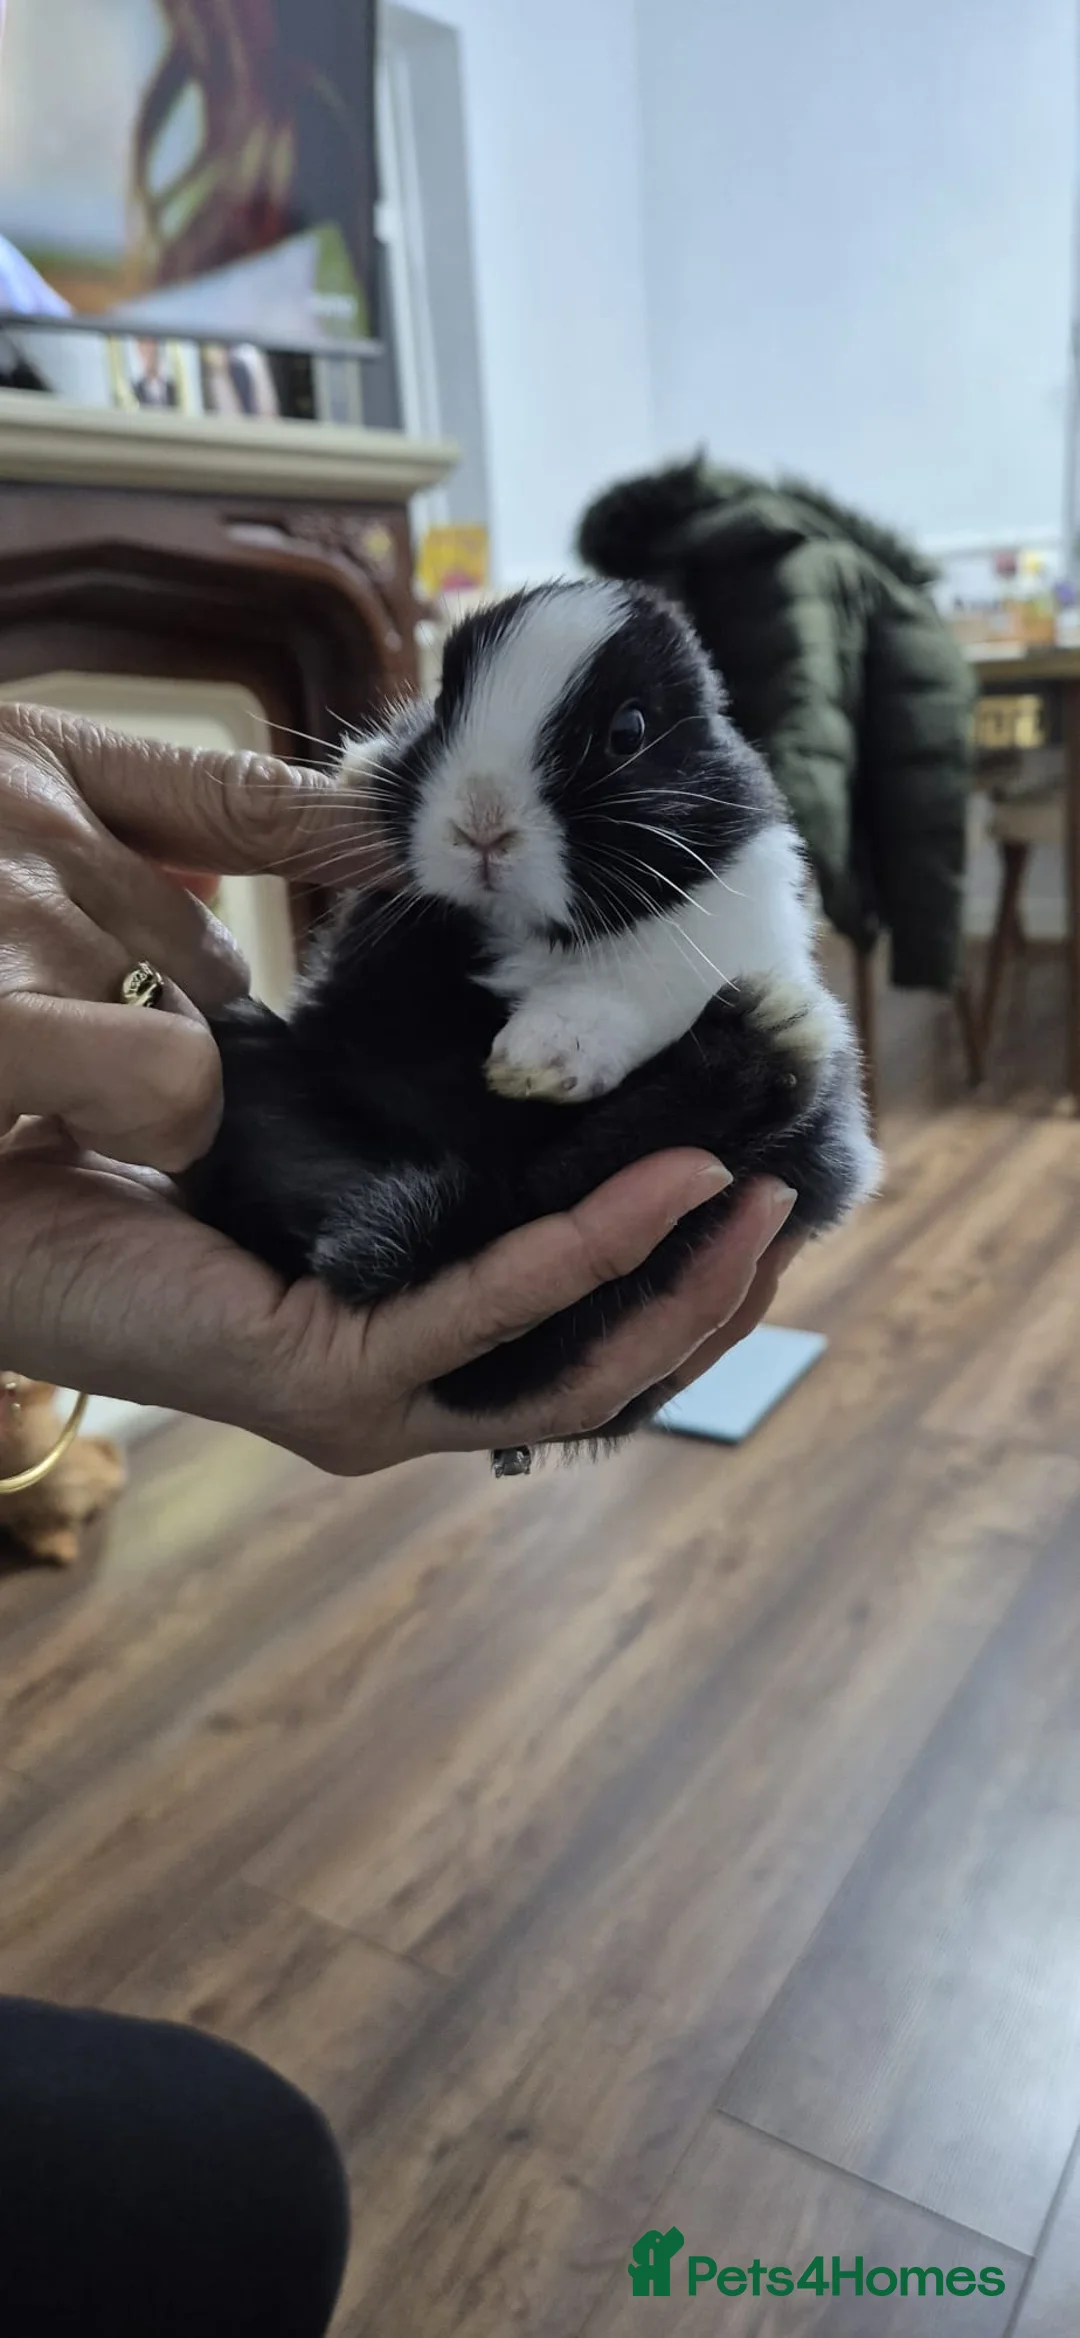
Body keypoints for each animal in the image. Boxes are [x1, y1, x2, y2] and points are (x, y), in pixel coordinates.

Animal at [187, 579, 879, 1442]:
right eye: (445, 702)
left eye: (628, 731)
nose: (481, 825)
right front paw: (364, 766)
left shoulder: (725, 920)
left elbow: (638, 977)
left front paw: (537, 1060)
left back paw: (778, 1030)